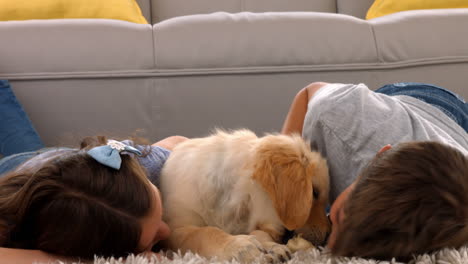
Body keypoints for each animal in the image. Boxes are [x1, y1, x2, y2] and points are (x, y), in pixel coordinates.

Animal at [160, 129, 330, 262]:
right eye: (314, 193)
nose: (329, 234)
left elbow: (259, 233)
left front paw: (271, 247)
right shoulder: (175, 228)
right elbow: (205, 232)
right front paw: (240, 247)